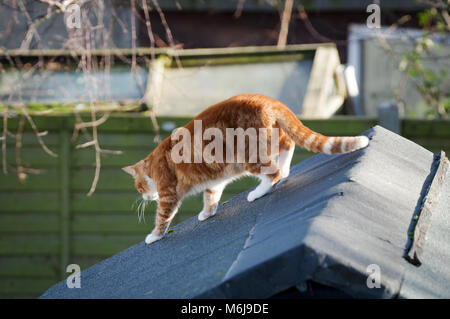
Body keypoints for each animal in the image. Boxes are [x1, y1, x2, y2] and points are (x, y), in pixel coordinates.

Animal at [121, 93, 368, 245]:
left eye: (139, 187)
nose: (144, 197)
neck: (154, 163)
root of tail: (269, 100)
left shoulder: (168, 195)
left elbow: (162, 218)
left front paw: (153, 236)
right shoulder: (214, 182)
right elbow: (211, 198)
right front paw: (207, 213)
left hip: (250, 156)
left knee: (273, 173)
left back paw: (258, 192)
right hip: (272, 138)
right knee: (288, 145)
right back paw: (285, 168)